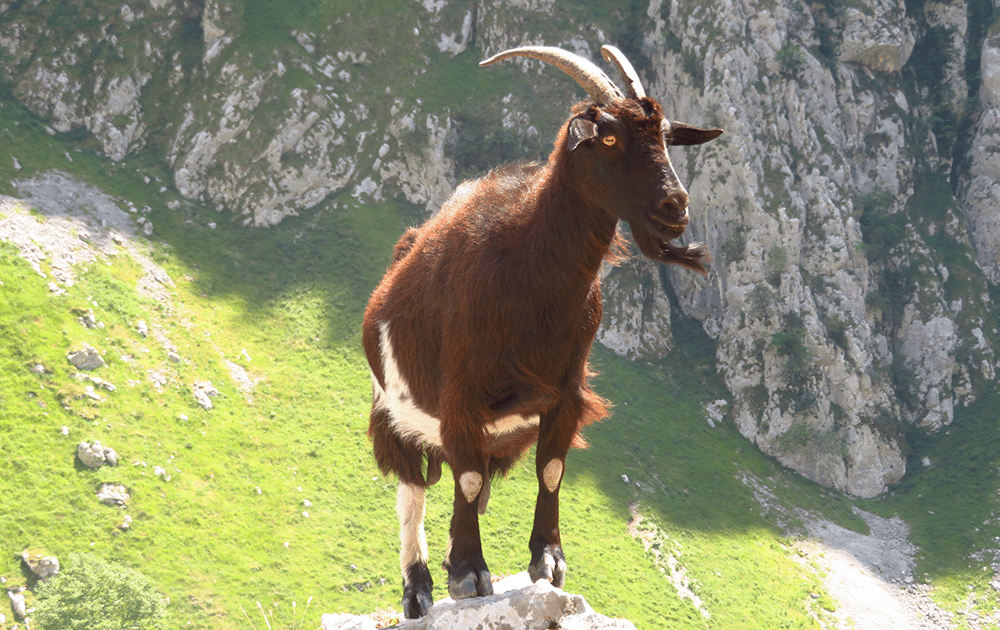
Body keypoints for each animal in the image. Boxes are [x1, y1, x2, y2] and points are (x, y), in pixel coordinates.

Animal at [362, 44, 722, 619]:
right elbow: (465, 480)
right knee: (412, 490)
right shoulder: (461, 397)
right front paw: (468, 574)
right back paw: (417, 589)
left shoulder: (566, 392)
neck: (528, 272)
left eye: (666, 136)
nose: (675, 207)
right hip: (392, 414)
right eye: (610, 137)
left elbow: (550, 469)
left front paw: (548, 562)